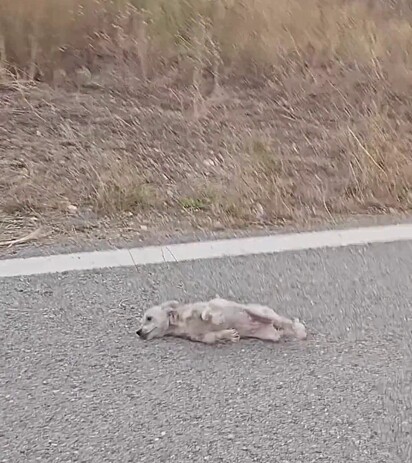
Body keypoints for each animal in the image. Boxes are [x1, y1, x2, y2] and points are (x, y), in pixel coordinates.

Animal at [135, 298, 306, 344]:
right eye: (141, 323)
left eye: (148, 318)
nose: (138, 332)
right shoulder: (200, 337)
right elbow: (212, 337)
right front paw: (229, 334)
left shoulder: (213, 304)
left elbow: (207, 313)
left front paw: (214, 318)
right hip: (270, 334)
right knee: (279, 332)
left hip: (259, 312)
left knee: (284, 322)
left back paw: (298, 329)